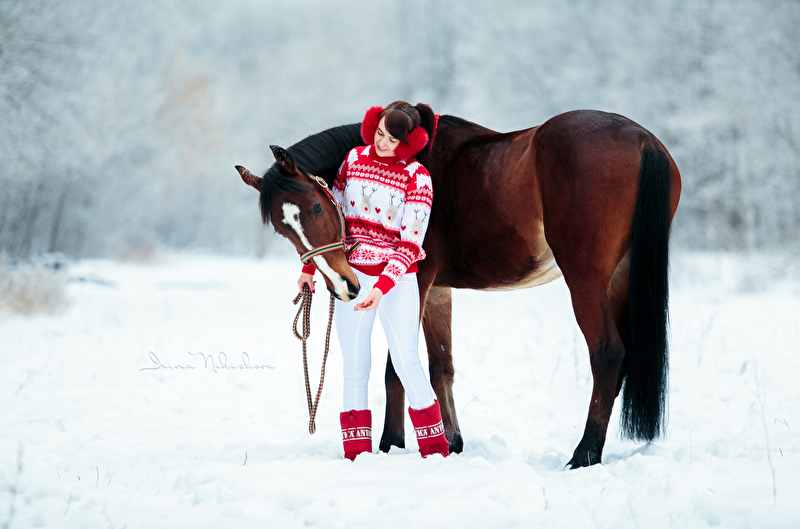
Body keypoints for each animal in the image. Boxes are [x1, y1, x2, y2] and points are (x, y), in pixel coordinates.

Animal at [236, 108, 681, 468]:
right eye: (281, 230)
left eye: (315, 207)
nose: (343, 287)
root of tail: (642, 140)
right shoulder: (437, 291)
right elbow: (440, 366)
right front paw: (451, 441)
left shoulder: (416, 281)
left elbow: (396, 369)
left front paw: (391, 444)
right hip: (618, 277)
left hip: (585, 277)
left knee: (608, 353)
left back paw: (584, 454)